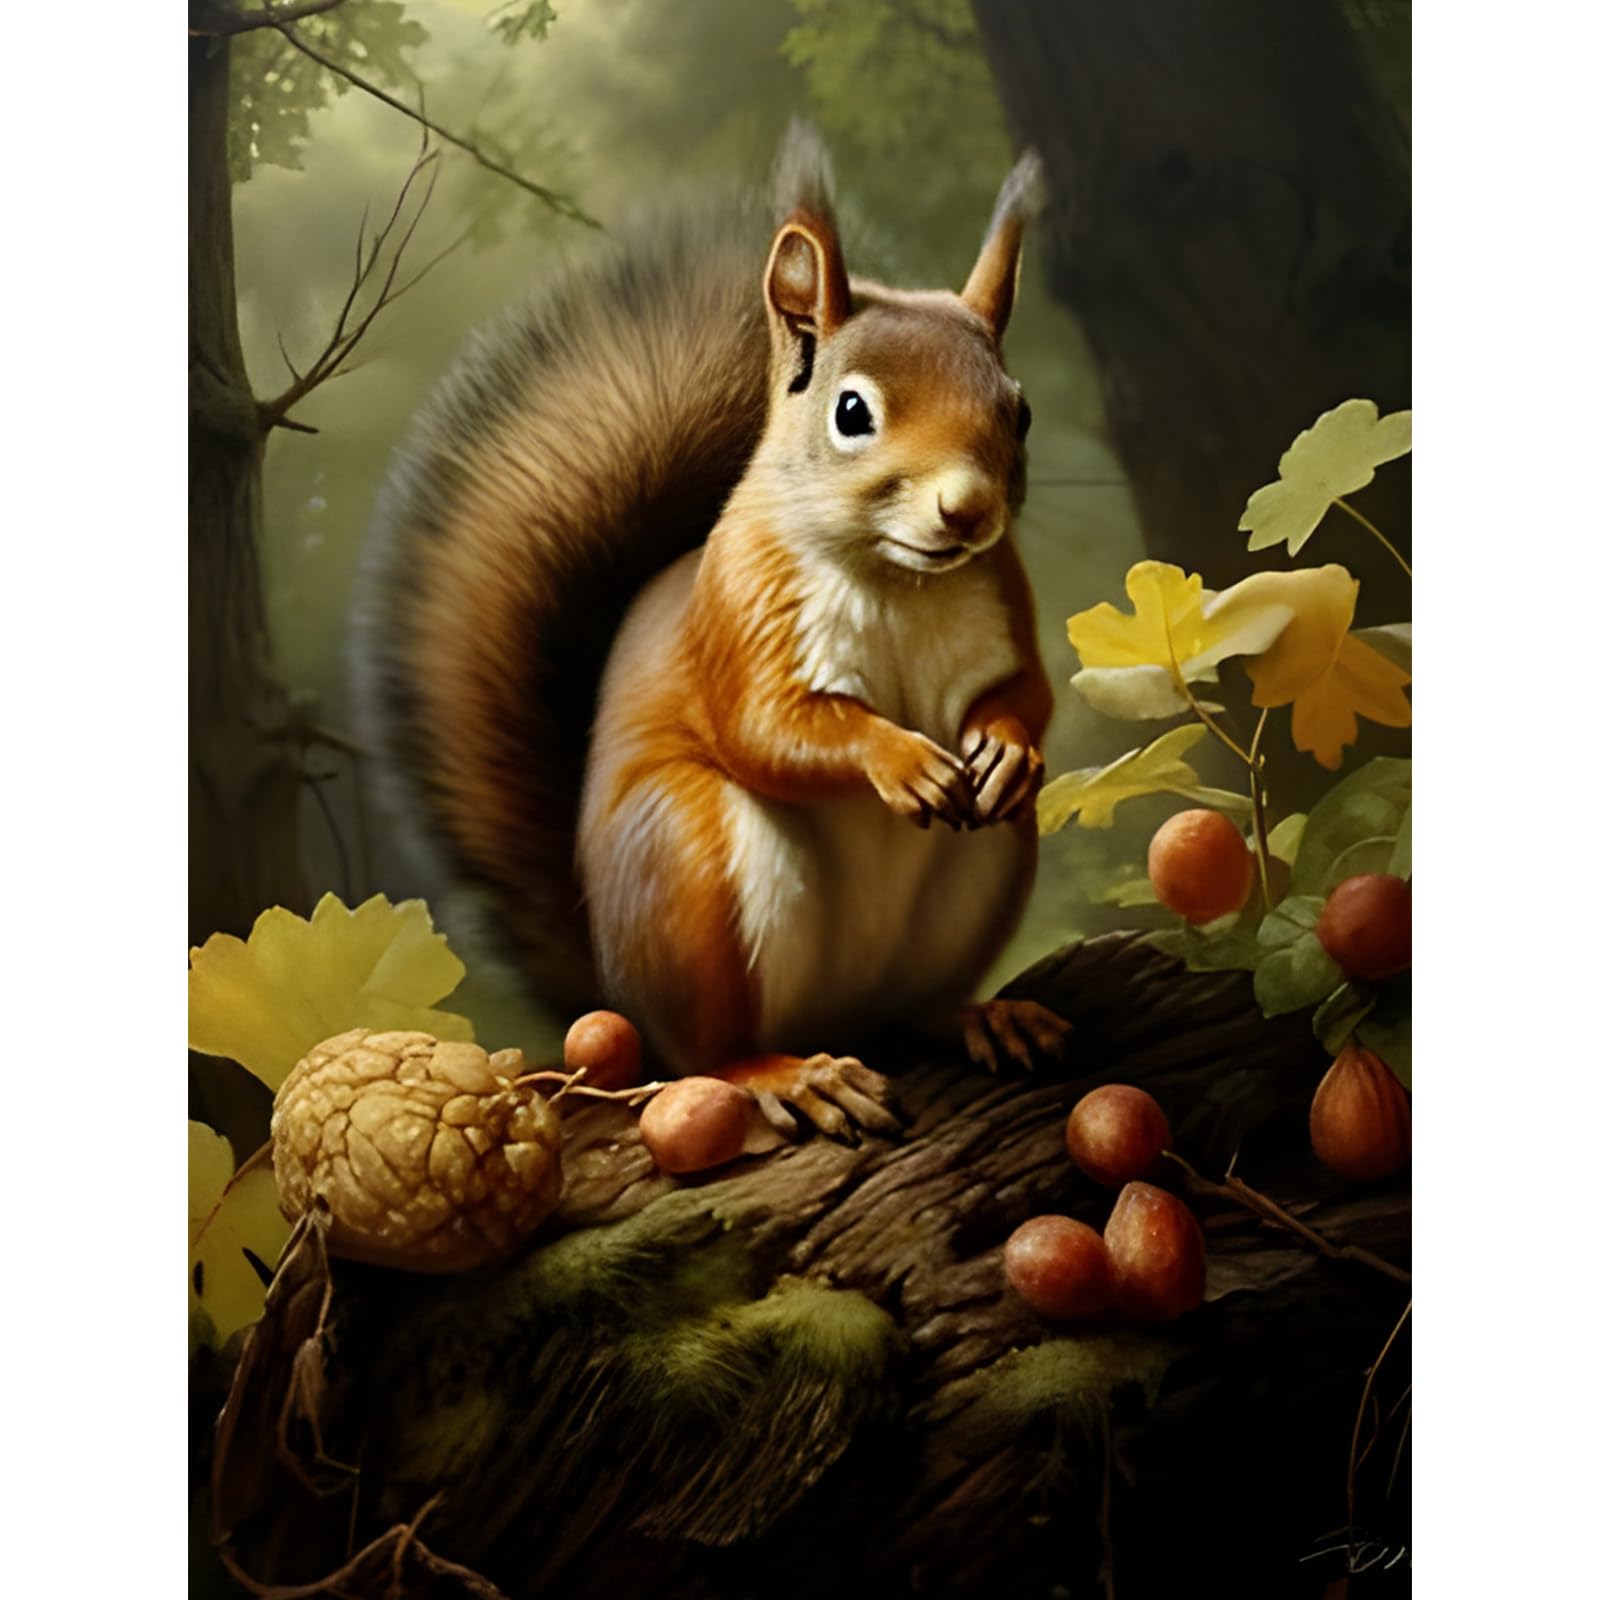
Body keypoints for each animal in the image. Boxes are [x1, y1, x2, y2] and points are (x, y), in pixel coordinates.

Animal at [352, 125, 1067, 1133]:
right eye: (852, 412)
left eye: (1021, 410)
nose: (966, 510)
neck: (898, 579)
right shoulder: (740, 612)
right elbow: (768, 728)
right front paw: (900, 759)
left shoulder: (1004, 604)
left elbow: (1026, 693)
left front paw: (1005, 748)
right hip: (691, 872)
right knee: (706, 1052)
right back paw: (787, 1074)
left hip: (986, 866)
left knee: (917, 1003)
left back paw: (977, 1014)